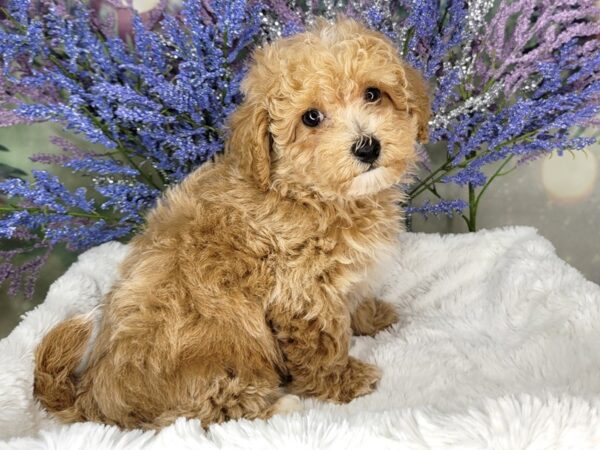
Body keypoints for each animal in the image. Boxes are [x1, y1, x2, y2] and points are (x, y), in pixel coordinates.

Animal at [32, 19, 428, 430]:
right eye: (311, 118)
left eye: (373, 94)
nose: (367, 146)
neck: (308, 192)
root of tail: (93, 398)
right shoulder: (300, 290)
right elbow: (320, 342)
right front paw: (343, 381)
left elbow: (355, 295)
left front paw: (372, 317)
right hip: (219, 354)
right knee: (206, 412)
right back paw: (278, 406)